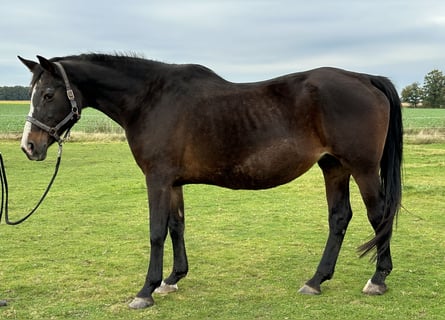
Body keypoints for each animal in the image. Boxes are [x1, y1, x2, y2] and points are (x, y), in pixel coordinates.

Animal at [17, 53, 400, 308]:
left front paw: (145, 291)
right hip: (333, 167)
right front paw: (172, 279)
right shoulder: (173, 183)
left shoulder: (157, 179)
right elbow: (176, 227)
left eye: (48, 94)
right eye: (34, 93)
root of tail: (365, 78)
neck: (150, 99)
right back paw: (316, 280)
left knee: (379, 216)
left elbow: (156, 232)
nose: (29, 146)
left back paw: (378, 279)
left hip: (363, 169)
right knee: (340, 218)